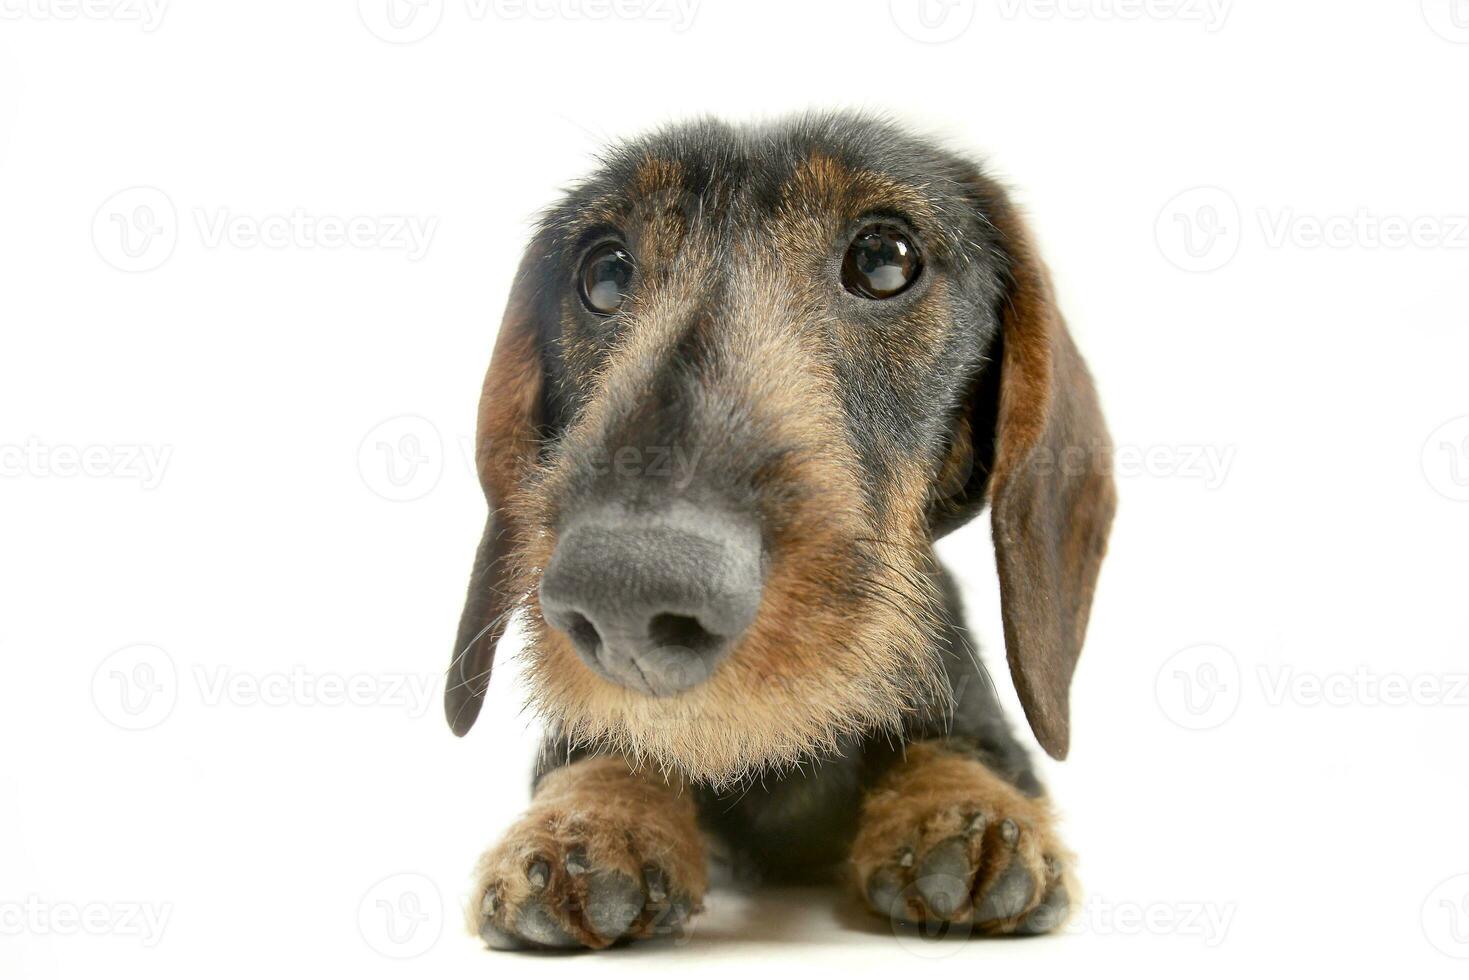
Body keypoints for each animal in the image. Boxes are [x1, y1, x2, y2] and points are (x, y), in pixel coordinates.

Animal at [443, 113, 1110, 952]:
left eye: (884, 260)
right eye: (603, 275)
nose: (626, 588)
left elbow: (960, 748)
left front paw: (965, 812)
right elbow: (607, 750)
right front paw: (585, 824)